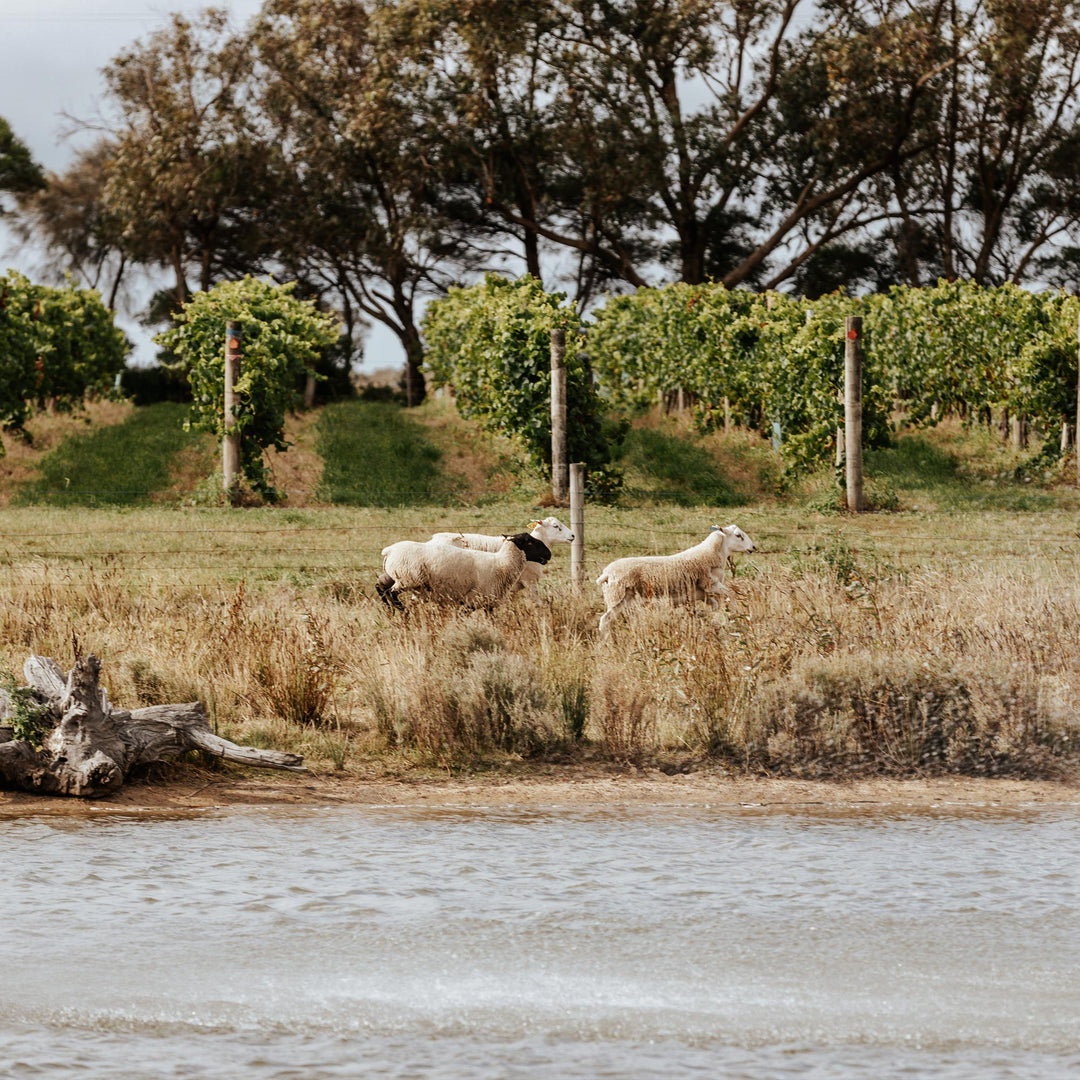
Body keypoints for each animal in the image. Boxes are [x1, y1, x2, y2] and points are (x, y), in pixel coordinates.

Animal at [378, 533, 552, 617]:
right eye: (530, 541)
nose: (548, 554)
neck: (502, 563)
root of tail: (389, 550)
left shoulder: (488, 604)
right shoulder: (471, 601)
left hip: (394, 576)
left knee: (380, 587)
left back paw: (390, 611)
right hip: (407, 579)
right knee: (389, 592)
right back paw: (402, 611)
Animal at [596, 522, 756, 630]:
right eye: (738, 536)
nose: (753, 547)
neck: (712, 553)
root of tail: (606, 573)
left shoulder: (702, 593)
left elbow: (715, 606)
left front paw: (700, 614)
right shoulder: (711, 585)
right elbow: (731, 595)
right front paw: (735, 614)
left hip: (624, 599)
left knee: (608, 620)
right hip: (616, 596)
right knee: (604, 620)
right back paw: (606, 644)